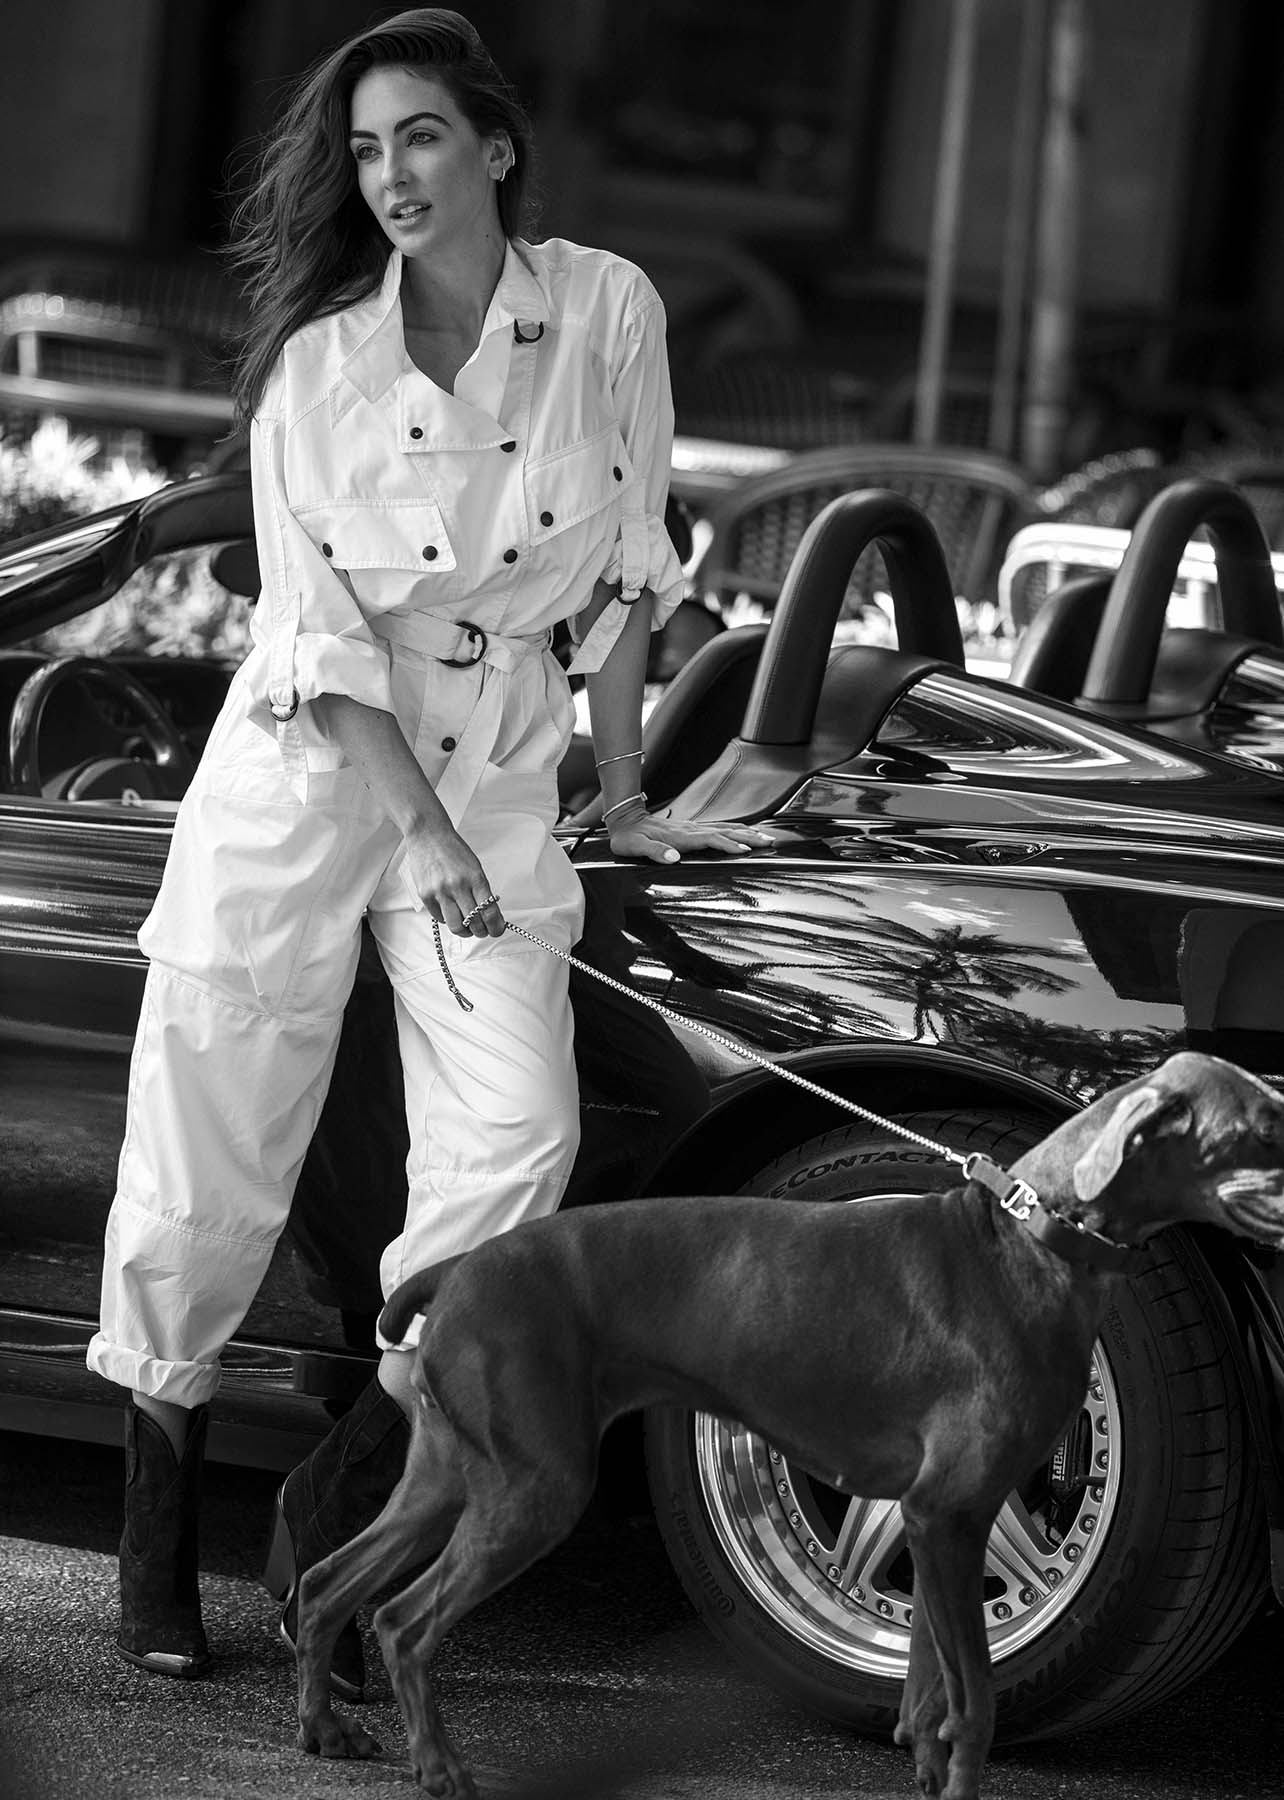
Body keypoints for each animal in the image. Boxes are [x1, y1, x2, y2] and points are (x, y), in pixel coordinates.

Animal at [289, 1051, 1282, 1800]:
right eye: (1264, 1126)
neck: (1028, 1237)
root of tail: (453, 1269)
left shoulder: (933, 1526)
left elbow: (928, 1699)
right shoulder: (952, 1516)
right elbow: (976, 1707)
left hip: (449, 1476)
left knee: (331, 1580)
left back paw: (324, 1729)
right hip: (535, 1487)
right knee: (404, 1620)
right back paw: (440, 1768)